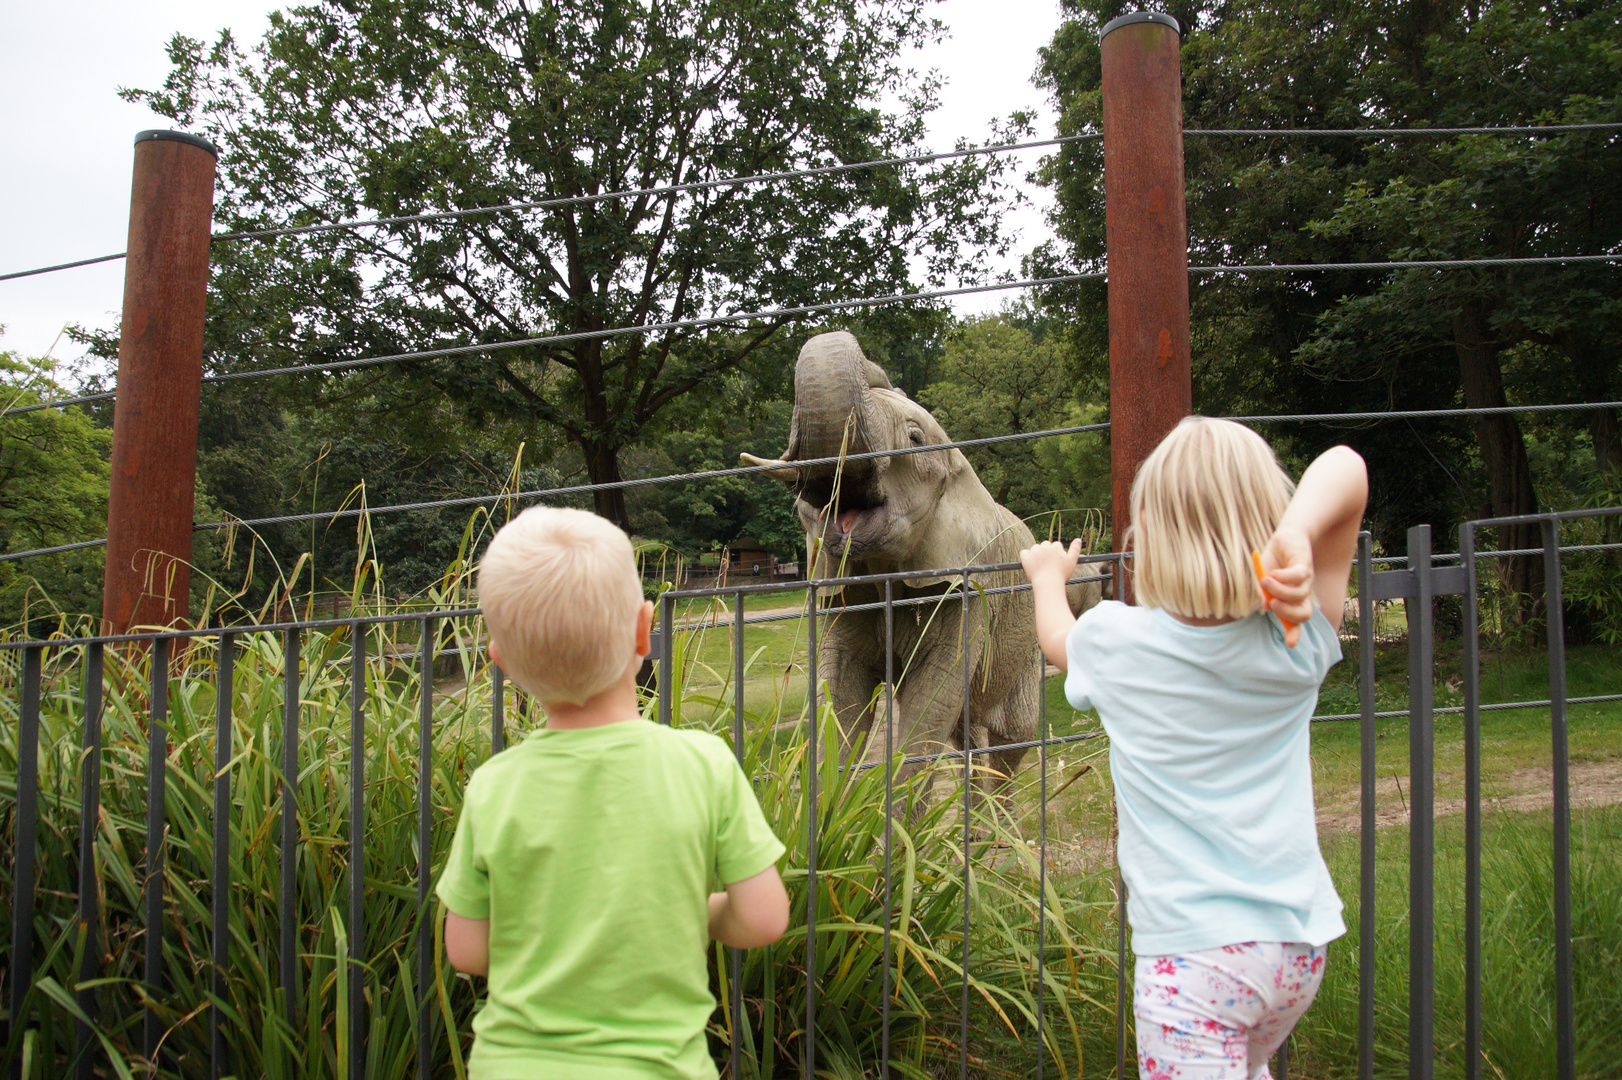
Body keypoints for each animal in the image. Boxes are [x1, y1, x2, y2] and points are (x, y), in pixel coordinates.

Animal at [742, 327, 1102, 797]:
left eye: (913, 439)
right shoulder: (843, 592)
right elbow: (839, 691)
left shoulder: (966, 592)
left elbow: (930, 699)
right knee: (967, 733)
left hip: (1026, 646)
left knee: (1011, 737)